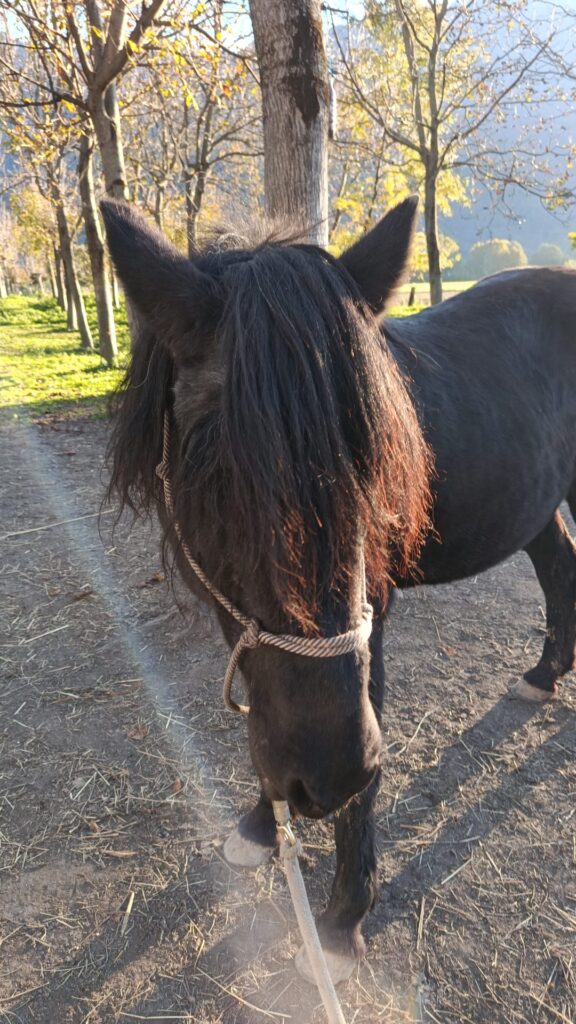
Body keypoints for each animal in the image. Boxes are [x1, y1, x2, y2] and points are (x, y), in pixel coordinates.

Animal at [101, 196, 576, 984]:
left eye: (381, 468)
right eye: (215, 482)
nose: (325, 776)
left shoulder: (369, 617)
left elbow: (364, 746)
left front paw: (342, 921)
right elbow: (267, 710)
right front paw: (264, 822)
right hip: (535, 502)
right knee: (559, 567)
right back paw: (544, 674)